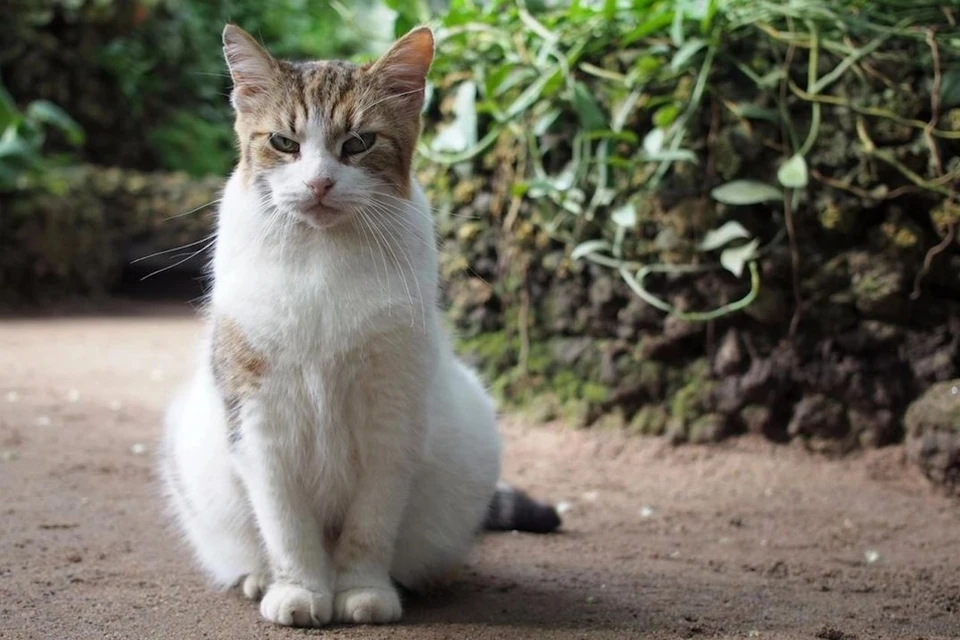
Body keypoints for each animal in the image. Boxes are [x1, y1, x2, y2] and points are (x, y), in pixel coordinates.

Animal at [160, 22, 560, 628]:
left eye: (358, 143)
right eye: (284, 143)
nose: (319, 183)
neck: (323, 261)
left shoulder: (392, 417)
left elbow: (370, 525)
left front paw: (362, 591)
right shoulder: (259, 420)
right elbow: (286, 526)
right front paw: (299, 589)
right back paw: (258, 578)